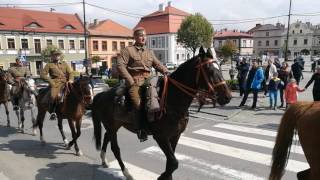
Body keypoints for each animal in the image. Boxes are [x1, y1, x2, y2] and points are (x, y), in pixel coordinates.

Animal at [91, 48, 231, 180]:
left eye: (219, 67)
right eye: (209, 70)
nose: (227, 97)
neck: (171, 99)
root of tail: (102, 94)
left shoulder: (175, 136)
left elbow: (170, 161)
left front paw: (167, 176)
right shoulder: (161, 137)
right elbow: (174, 162)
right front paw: (162, 176)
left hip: (114, 126)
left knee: (106, 138)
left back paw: (104, 160)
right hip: (111, 127)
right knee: (115, 149)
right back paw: (127, 173)